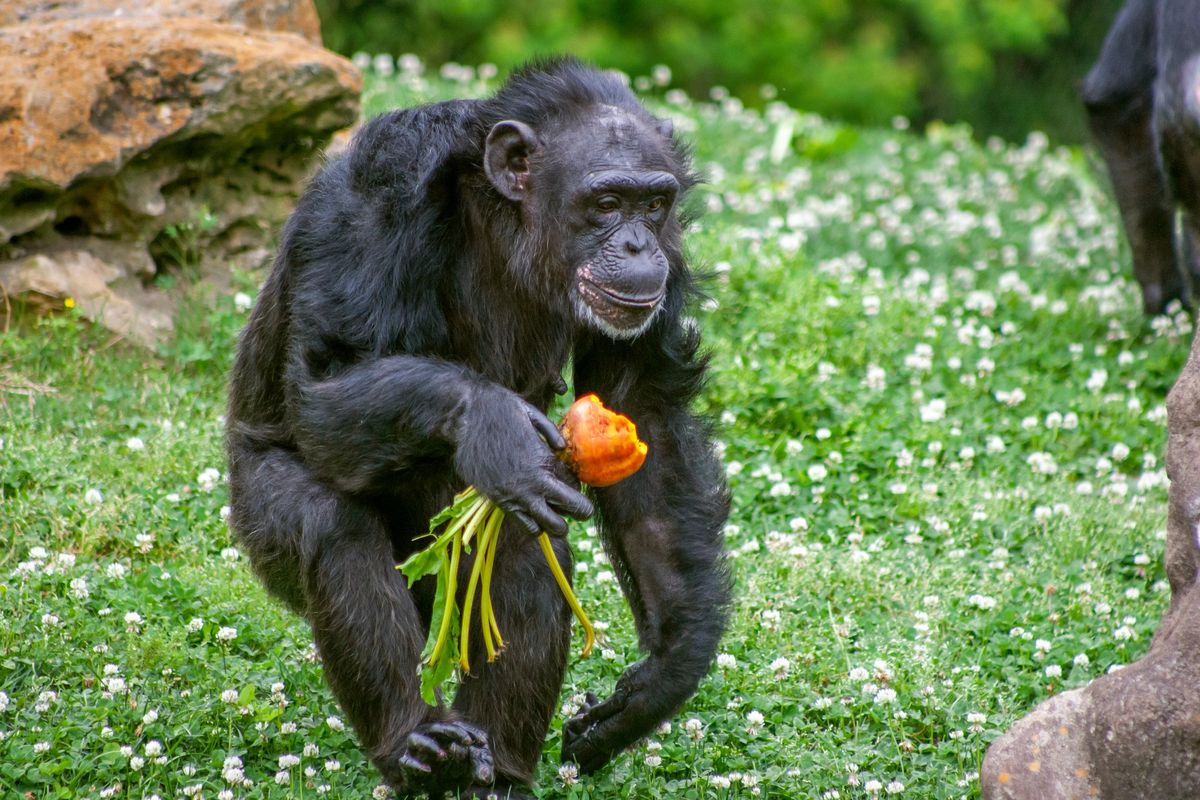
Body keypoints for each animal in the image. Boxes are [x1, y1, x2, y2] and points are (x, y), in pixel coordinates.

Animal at [225, 59, 729, 796]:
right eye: (607, 203)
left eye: (654, 204)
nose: (638, 243)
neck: (504, 220)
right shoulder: (375, 200)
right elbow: (327, 377)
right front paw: (494, 426)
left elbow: (646, 411)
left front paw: (666, 670)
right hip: (256, 517)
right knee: (332, 527)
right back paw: (415, 742)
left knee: (519, 539)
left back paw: (493, 769)